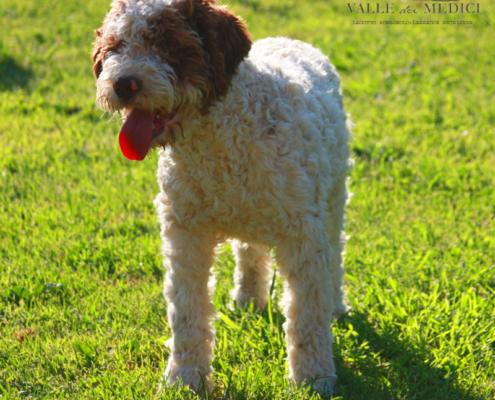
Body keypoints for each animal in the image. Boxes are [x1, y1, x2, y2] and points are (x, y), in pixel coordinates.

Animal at [92, 0, 348, 394]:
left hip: (334, 196)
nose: (123, 83)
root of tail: (290, 40)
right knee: (250, 253)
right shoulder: (184, 234)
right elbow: (187, 312)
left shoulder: (303, 235)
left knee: (334, 254)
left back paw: (335, 305)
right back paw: (247, 299)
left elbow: (306, 316)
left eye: (169, 44)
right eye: (115, 47)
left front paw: (313, 380)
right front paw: (184, 379)